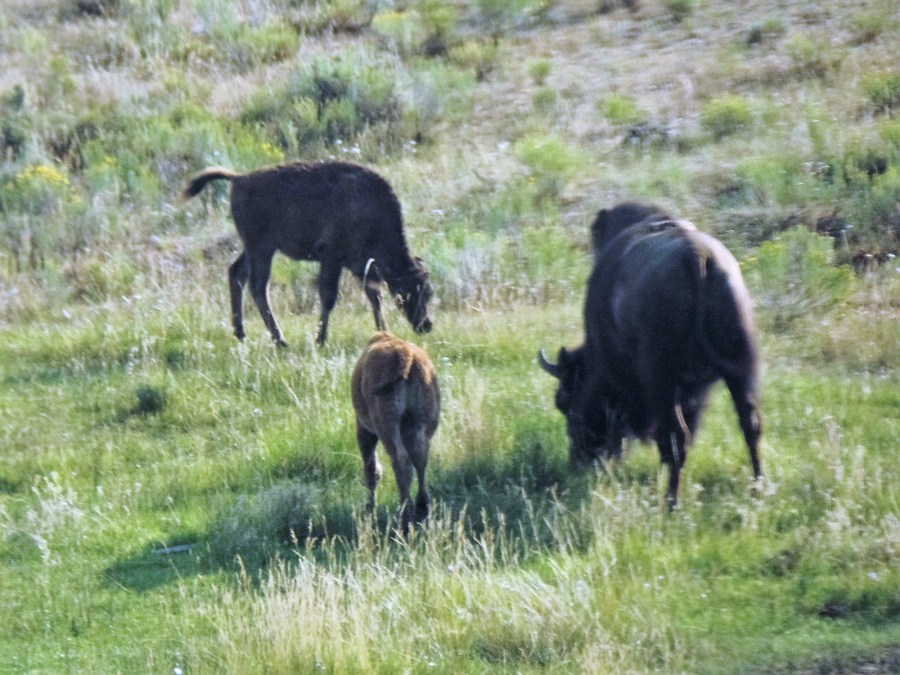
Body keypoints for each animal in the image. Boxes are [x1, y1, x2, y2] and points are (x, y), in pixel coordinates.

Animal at [183, 161, 434, 347]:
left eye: (429, 292)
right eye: (405, 293)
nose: (426, 325)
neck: (371, 210)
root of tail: (239, 179)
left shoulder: (361, 266)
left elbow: (375, 297)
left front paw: (383, 332)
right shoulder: (332, 258)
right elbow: (329, 297)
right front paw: (320, 340)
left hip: (254, 249)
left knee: (237, 275)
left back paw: (242, 334)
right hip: (262, 249)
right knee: (258, 288)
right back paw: (280, 341)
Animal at [351, 331, 440, 532]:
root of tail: (406, 356)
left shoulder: (363, 428)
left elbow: (371, 469)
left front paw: (370, 509)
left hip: (386, 425)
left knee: (401, 462)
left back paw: (405, 518)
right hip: (422, 424)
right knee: (420, 460)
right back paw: (423, 509)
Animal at [540, 202, 762, 506]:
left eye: (567, 405)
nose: (579, 462)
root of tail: (697, 258)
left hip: (665, 383)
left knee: (677, 438)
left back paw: (671, 503)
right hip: (739, 372)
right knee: (749, 425)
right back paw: (759, 490)